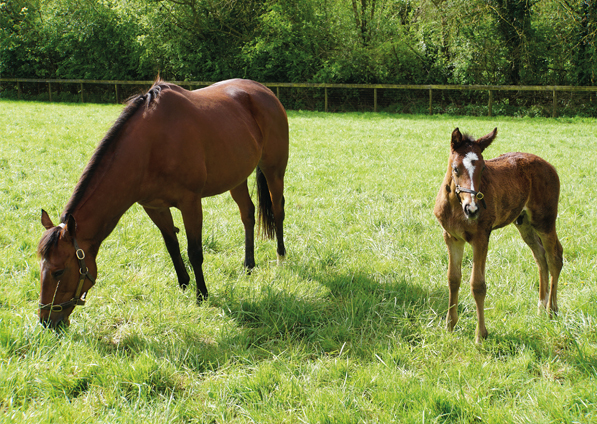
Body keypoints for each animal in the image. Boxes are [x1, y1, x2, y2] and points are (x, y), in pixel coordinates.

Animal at [36, 80, 288, 332]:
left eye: (58, 271)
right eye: (40, 267)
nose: (46, 321)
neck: (151, 146)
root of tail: (263, 90)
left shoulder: (190, 203)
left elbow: (194, 251)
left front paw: (201, 295)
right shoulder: (154, 207)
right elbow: (172, 245)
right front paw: (184, 283)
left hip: (274, 170)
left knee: (278, 210)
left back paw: (281, 256)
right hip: (236, 178)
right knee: (248, 214)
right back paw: (249, 265)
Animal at [434, 127, 564, 342]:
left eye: (483, 168)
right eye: (455, 168)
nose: (472, 209)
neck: (456, 207)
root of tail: (550, 166)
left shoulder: (481, 238)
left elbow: (477, 285)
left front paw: (480, 335)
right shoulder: (452, 238)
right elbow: (453, 278)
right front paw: (450, 326)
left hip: (544, 220)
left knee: (554, 257)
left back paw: (551, 310)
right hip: (524, 223)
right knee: (540, 257)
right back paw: (540, 307)